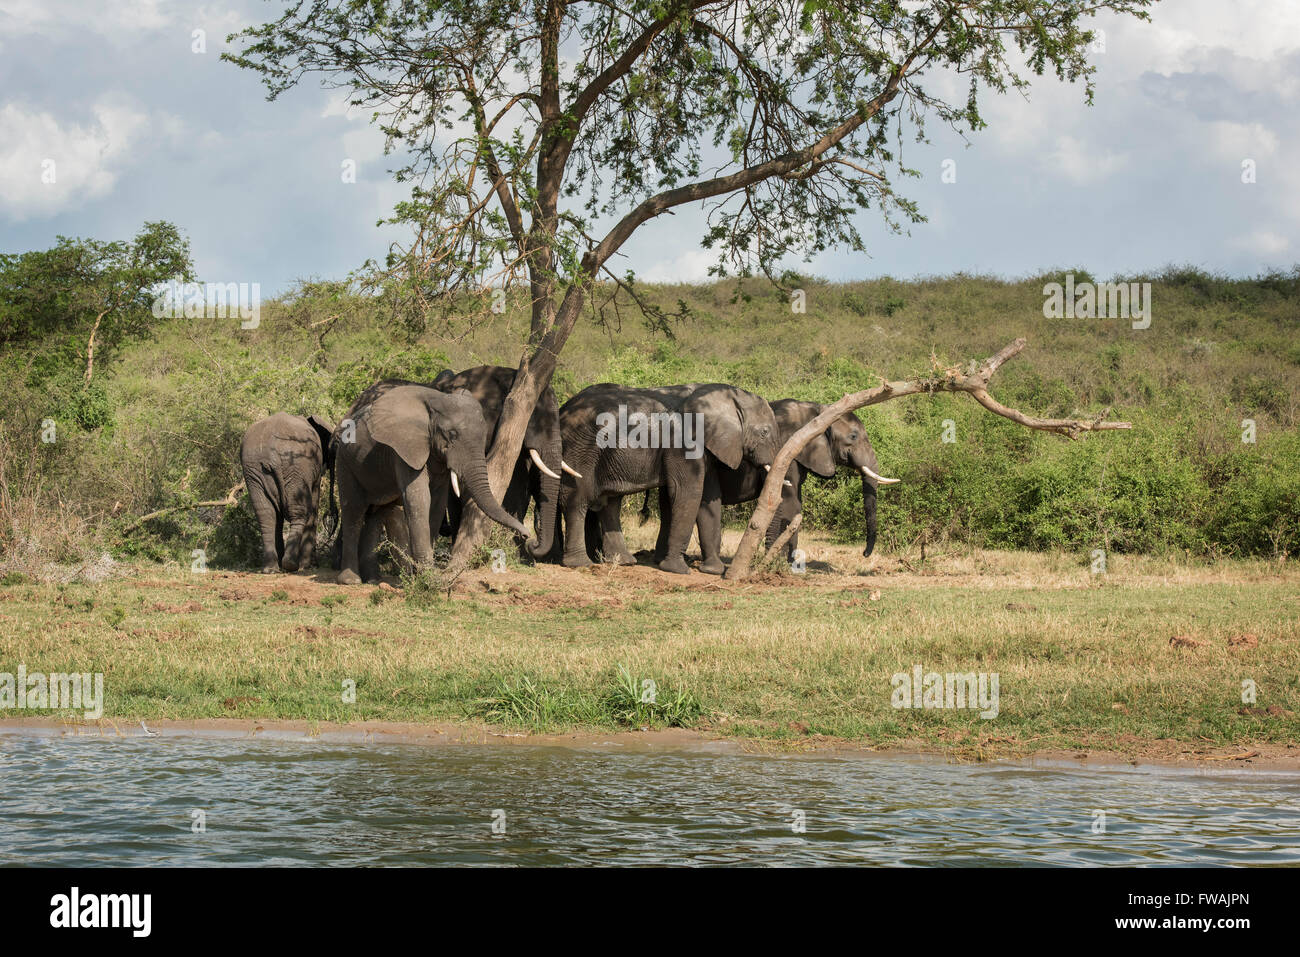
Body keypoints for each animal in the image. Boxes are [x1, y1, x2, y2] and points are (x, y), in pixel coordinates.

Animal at [241, 408, 335, 572]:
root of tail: (270, 455)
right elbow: (313, 506)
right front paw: (309, 567)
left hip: (253, 471)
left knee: (266, 514)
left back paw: (270, 569)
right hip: (296, 465)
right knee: (299, 511)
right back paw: (291, 565)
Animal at [335, 382, 538, 582]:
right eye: (452, 434)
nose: (527, 535)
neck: (436, 401)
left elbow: (438, 502)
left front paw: (422, 575)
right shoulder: (406, 449)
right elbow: (419, 499)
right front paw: (428, 578)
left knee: (376, 514)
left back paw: (373, 580)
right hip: (344, 460)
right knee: (353, 510)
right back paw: (350, 580)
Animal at [553, 382, 774, 574]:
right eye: (764, 432)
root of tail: (563, 409)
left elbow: (708, 498)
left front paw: (712, 571)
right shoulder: (683, 443)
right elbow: (688, 493)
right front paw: (677, 570)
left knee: (610, 502)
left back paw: (624, 562)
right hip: (581, 448)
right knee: (578, 498)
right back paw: (580, 564)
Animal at [647, 395, 894, 566]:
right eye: (853, 436)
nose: (864, 554)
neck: (818, 412)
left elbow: (796, 504)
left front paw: (788, 561)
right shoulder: (786, 452)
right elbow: (789, 501)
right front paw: (778, 561)